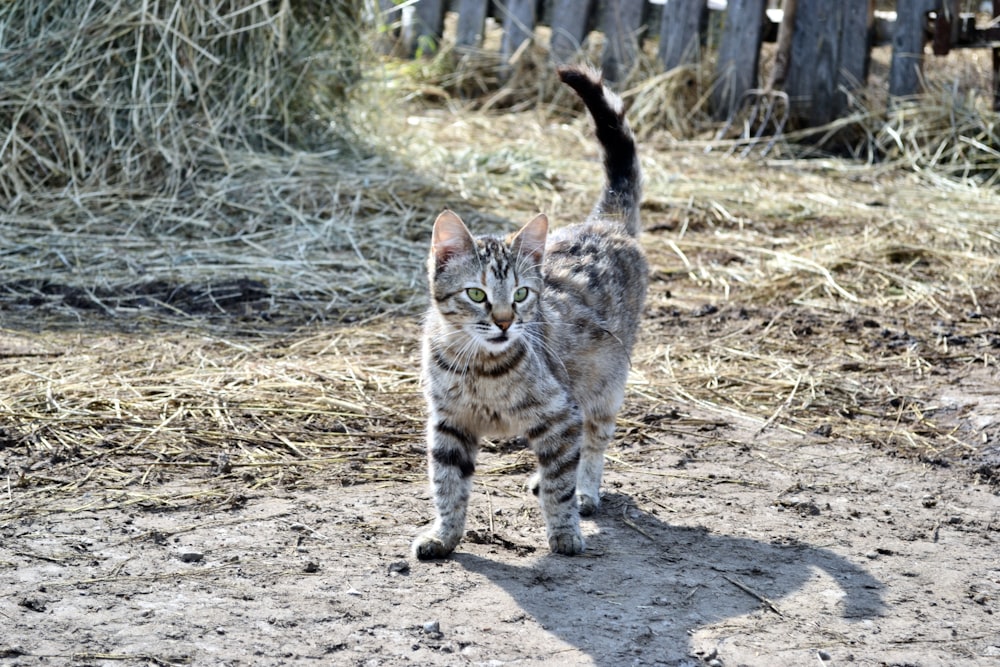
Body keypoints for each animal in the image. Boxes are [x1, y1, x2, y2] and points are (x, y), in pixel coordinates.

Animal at [414, 66, 648, 560]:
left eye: (521, 294)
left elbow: (561, 482)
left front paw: (564, 531)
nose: (504, 322)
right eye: (477, 294)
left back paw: (585, 492)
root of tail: (603, 224)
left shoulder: (562, 413)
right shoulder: (448, 423)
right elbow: (447, 484)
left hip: (605, 386)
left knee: (592, 443)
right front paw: (444, 535)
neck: (481, 369)